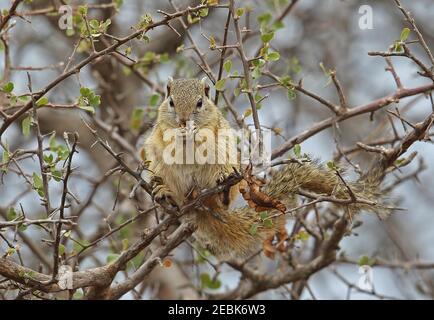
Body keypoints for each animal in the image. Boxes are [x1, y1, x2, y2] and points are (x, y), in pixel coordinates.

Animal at [143, 77, 390, 260]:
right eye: (171, 102)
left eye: (200, 103)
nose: (184, 120)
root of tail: (199, 204)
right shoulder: (161, 129)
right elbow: (167, 133)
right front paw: (179, 132)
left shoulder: (214, 127)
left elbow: (204, 132)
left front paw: (192, 131)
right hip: (159, 166)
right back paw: (164, 192)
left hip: (226, 160)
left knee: (223, 196)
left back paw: (223, 188)